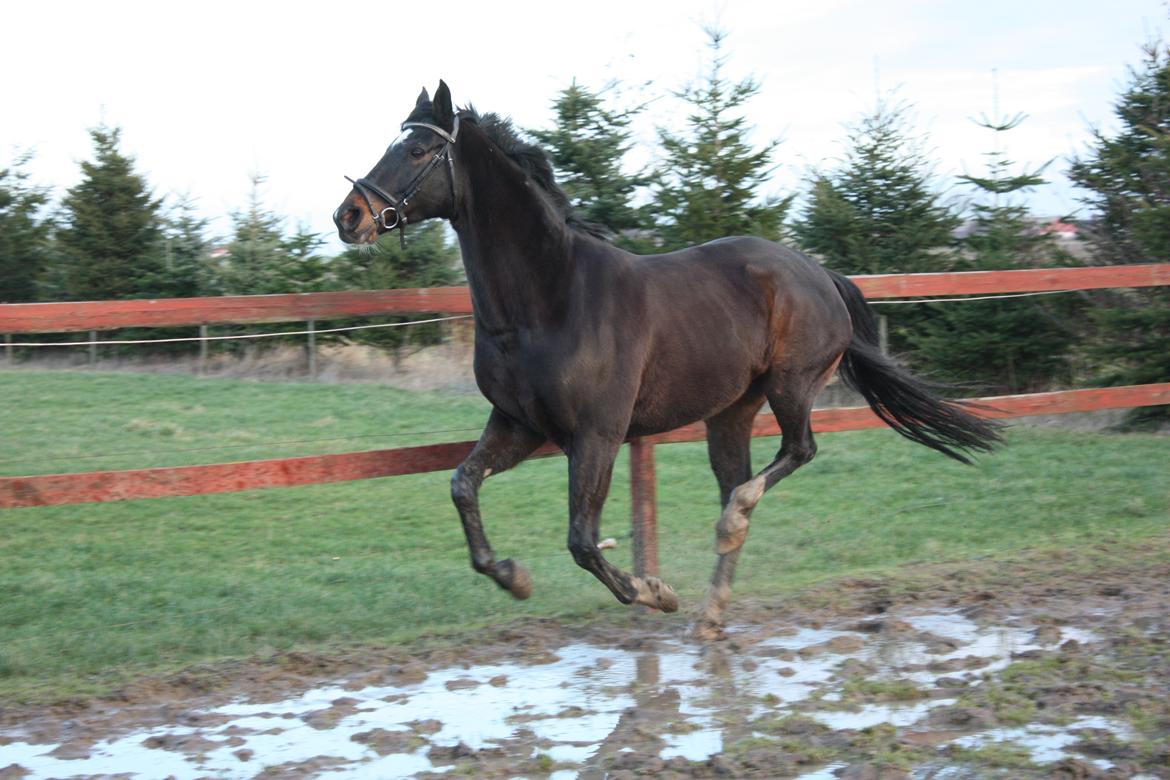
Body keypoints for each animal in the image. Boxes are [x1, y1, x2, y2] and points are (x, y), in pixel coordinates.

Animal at [329, 80, 996, 640]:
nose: (348, 216)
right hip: (731, 410)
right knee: (736, 479)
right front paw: (514, 578)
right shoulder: (518, 424)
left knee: (795, 453)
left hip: (791, 385)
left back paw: (725, 541)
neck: (547, 301)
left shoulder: (596, 434)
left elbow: (583, 541)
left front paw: (656, 591)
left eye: (417, 149)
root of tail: (820, 273)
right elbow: (463, 485)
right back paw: (712, 609)